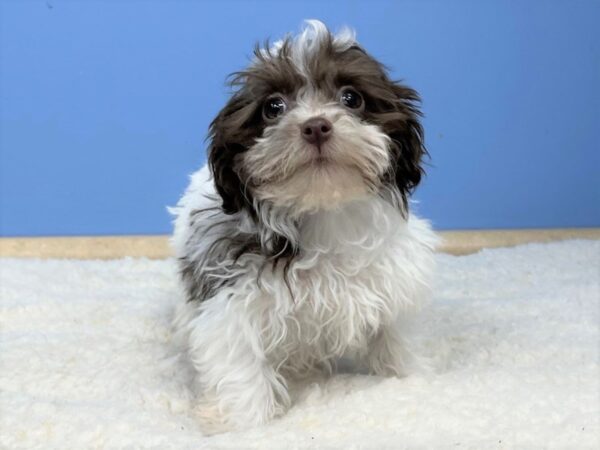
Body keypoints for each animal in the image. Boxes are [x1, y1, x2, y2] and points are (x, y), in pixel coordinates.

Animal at [171, 20, 438, 432]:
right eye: (273, 107)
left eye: (351, 98)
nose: (315, 126)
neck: (322, 211)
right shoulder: (230, 300)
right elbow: (239, 362)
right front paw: (245, 424)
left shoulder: (394, 279)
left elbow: (397, 337)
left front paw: (410, 383)